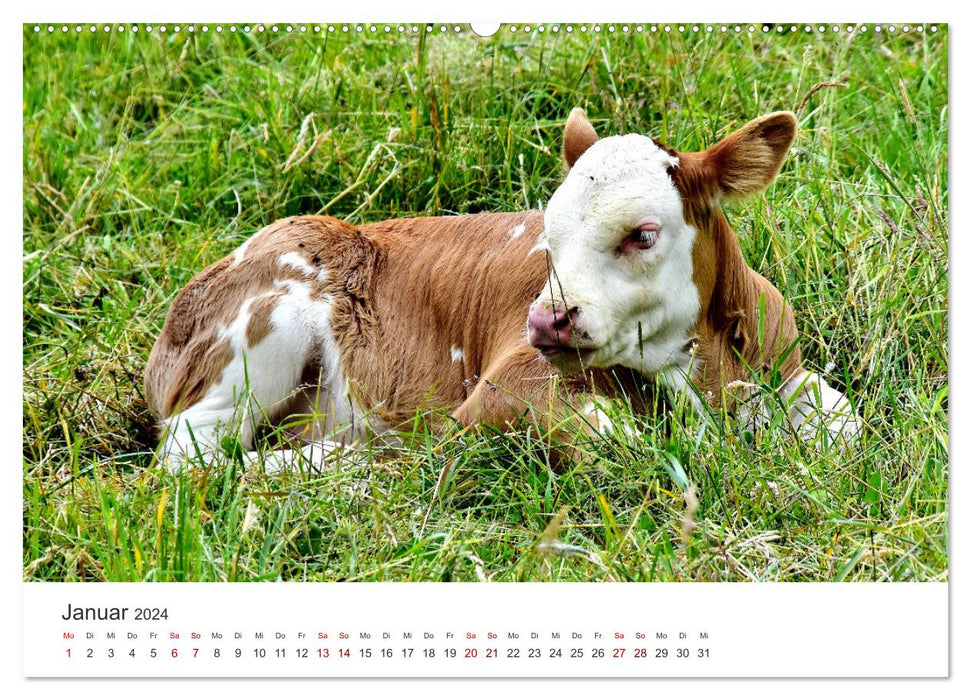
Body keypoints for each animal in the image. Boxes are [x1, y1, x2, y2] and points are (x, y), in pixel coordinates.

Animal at [144, 109, 860, 470]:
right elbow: (619, 441)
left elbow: (846, 424)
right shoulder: (501, 390)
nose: (546, 322)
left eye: (643, 234)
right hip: (265, 330)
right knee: (195, 454)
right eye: (548, 236)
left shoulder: (783, 361)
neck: (702, 371)